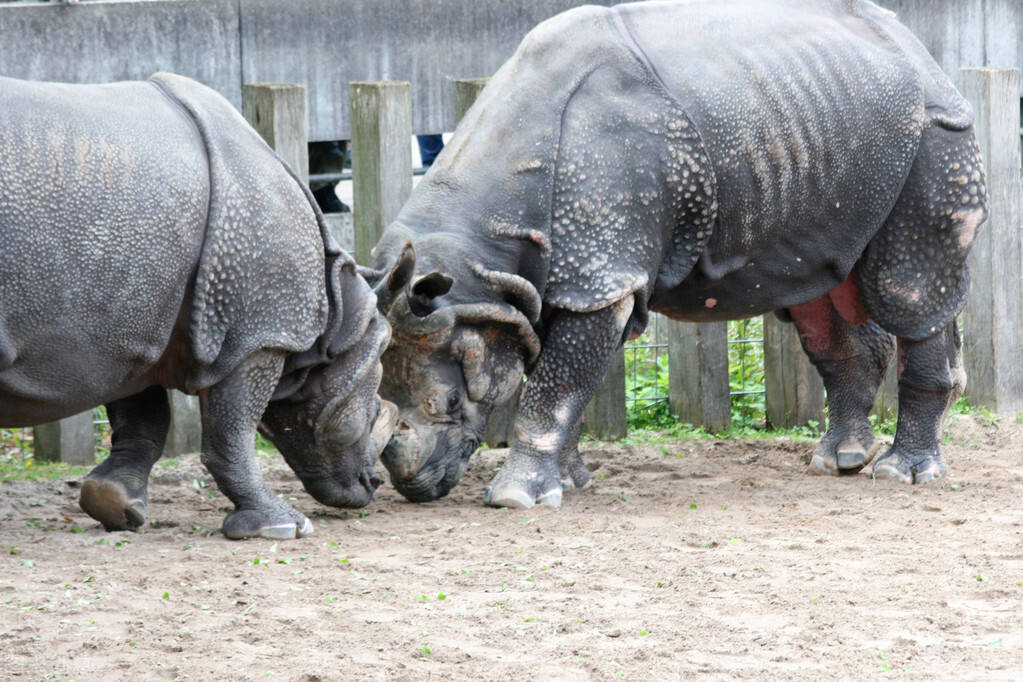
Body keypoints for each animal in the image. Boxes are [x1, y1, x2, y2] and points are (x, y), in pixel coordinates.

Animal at [0, 70, 407, 539]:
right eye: (372, 404)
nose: (372, 483)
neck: (337, 311)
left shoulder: (131, 325)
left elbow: (146, 414)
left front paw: (116, 505)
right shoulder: (257, 335)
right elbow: (233, 431)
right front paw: (282, 526)